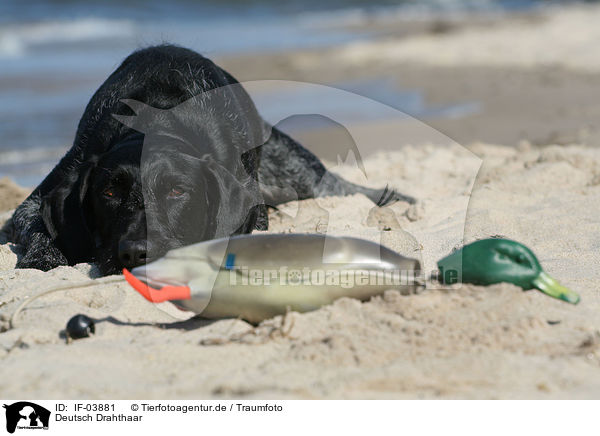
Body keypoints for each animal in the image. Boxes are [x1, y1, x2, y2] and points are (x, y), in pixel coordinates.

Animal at [9, 45, 412, 276]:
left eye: (177, 191)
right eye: (108, 193)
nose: (136, 252)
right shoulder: (42, 194)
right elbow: (33, 223)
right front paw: (44, 256)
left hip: (299, 171)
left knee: (340, 186)